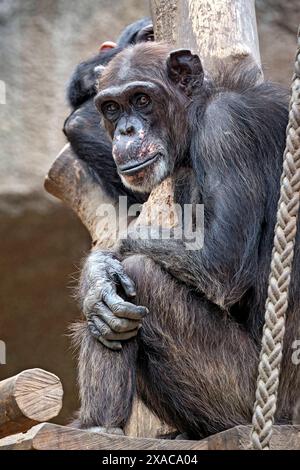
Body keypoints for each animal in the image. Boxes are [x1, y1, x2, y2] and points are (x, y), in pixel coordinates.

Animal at [72, 42, 300, 438]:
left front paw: (97, 273)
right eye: (112, 107)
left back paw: (98, 428)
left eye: (142, 99)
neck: (197, 110)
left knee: (142, 274)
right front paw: (97, 278)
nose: (126, 130)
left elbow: (220, 259)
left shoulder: (224, 131)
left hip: (243, 397)